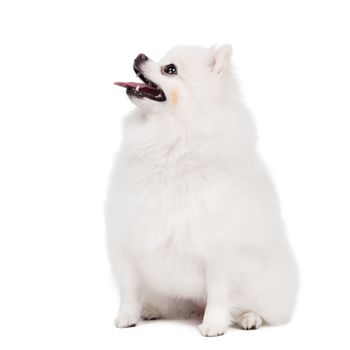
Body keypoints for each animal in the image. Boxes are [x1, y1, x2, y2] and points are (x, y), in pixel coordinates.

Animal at [104, 44, 298, 336]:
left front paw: (214, 324)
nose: (140, 55)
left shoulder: (219, 248)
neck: (171, 136)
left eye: (170, 69)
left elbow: (218, 292)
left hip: (263, 284)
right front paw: (128, 316)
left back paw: (248, 318)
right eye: (162, 61)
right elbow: (130, 288)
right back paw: (151, 309)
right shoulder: (130, 236)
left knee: (259, 309)